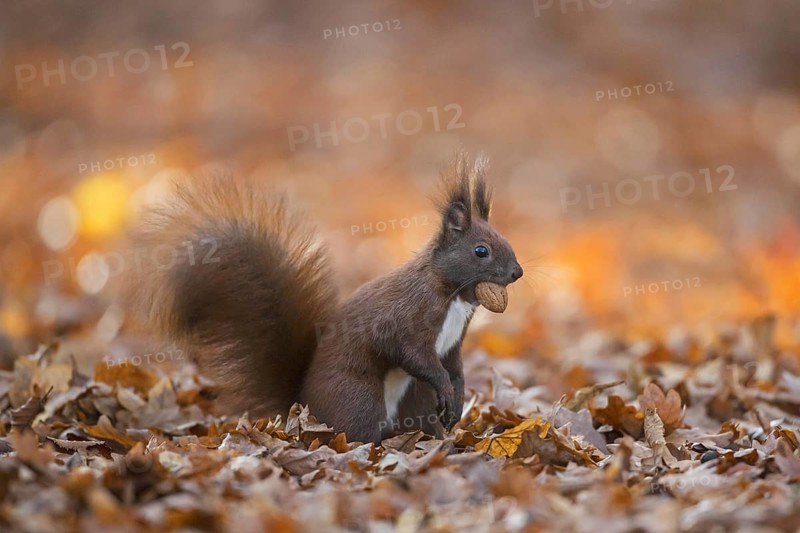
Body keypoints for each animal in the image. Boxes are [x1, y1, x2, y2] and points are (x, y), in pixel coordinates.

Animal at [127, 153, 523, 443]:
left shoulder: (453, 343)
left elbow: (454, 369)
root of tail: (303, 407)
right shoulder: (406, 319)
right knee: (355, 430)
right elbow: (413, 355)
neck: (454, 296)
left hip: (413, 401)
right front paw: (446, 389)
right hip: (358, 397)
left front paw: (457, 401)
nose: (517, 273)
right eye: (481, 250)